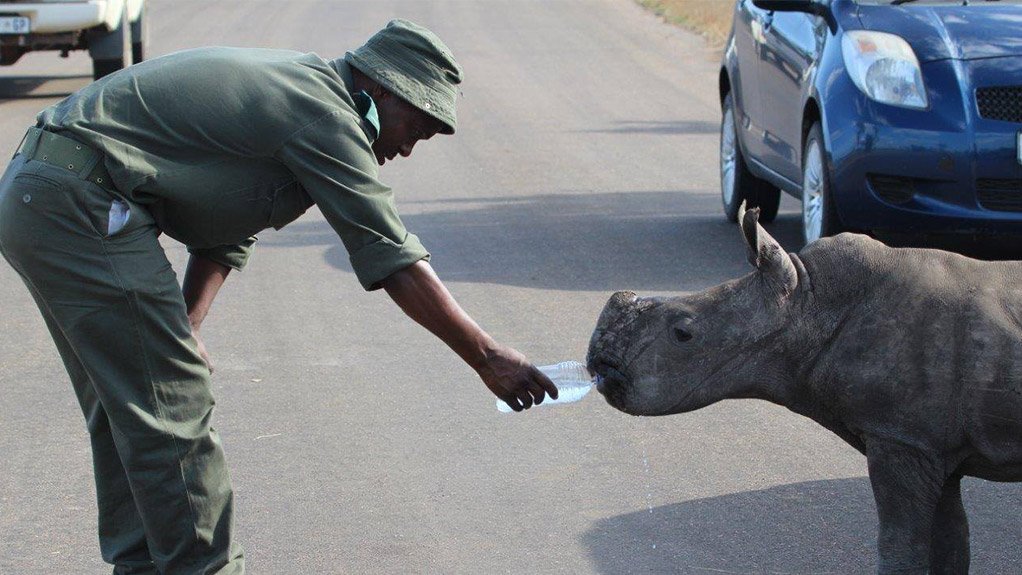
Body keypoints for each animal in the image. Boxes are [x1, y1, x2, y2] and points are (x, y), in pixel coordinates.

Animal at [586, 207, 1022, 575]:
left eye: (683, 333)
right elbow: (950, 544)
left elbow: (902, 547)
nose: (598, 363)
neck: (810, 302)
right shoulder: (929, 443)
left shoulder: (899, 437)